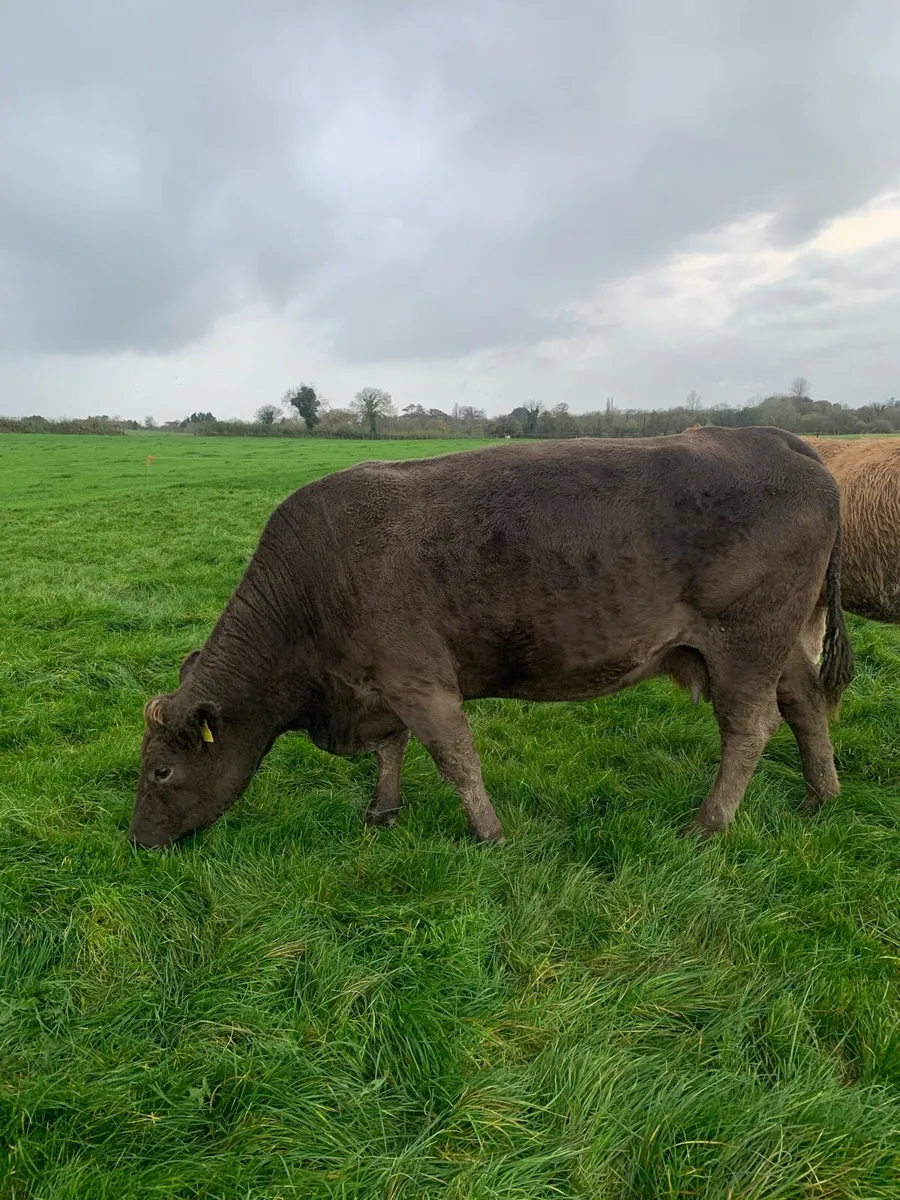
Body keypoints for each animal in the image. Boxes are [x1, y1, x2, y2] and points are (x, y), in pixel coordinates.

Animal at [129, 427, 854, 850]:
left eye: (161, 770)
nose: (137, 839)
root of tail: (772, 437)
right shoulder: (381, 685)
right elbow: (392, 751)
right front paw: (382, 812)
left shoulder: (420, 680)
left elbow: (455, 760)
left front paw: (491, 835)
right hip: (784, 641)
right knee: (805, 703)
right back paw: (821, 795)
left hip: (745, 643)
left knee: (749, 730)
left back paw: (708, 824)